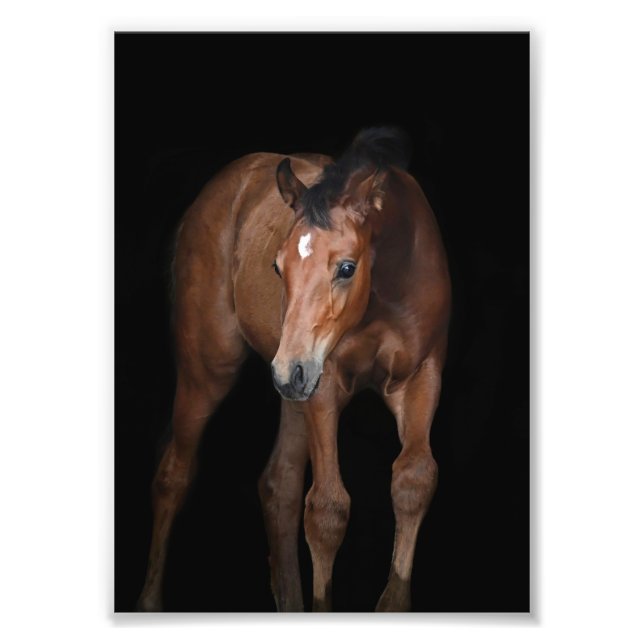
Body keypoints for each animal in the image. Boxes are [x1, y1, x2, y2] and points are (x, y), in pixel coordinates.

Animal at [136, 127, 451, 612]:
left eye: (346, 267)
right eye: (276, 265)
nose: (287, 372)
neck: (386, 289)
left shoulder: (420, 377)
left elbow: (413, 480)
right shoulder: (324, 386)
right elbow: (327, 511)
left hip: (293, 393)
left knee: (278, 486)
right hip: (210, 369)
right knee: (173, 474)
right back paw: (149, 601)